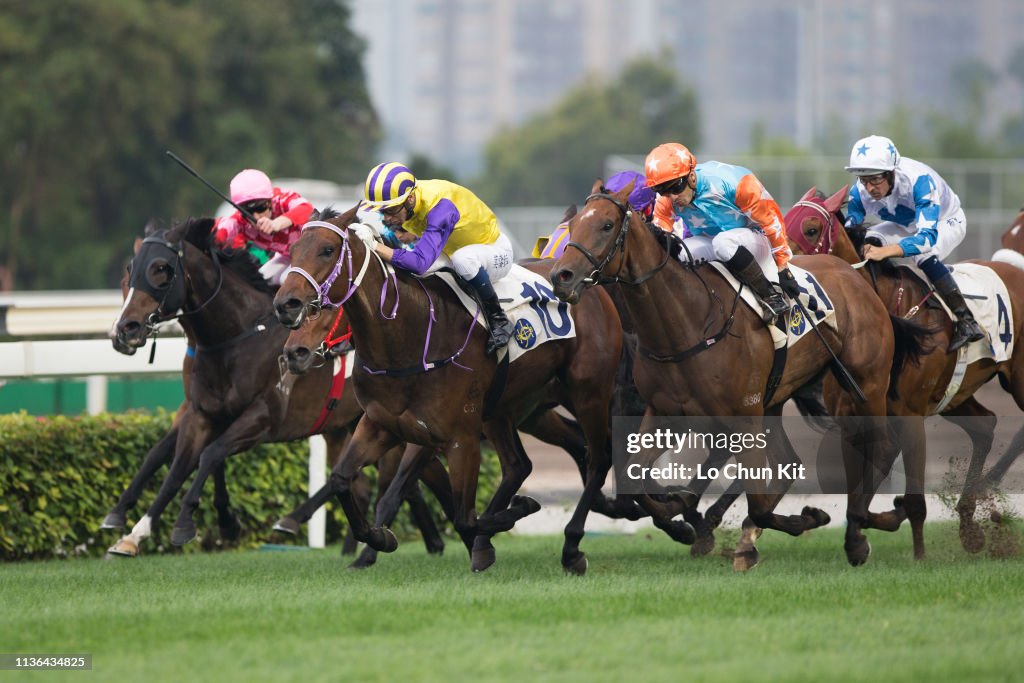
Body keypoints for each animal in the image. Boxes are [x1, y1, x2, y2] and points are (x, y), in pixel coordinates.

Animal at [109, 219, 452, 561]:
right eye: (128, 271)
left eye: (161, 268)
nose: (124, 330)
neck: (236, 338)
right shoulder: (201, 413)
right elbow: (172, 463)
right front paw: (131, 531)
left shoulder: (263, 418)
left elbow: (210, 455)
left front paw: (195, 522)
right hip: (356, 424)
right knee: (398, 479)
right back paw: (418, 541)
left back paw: (302, 522)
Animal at [270, 205, 638, 573]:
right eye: (294, 249)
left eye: (327, 249)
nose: (286, 306)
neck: (409, 338)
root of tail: (588, 283)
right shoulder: (381, 425)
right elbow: (342, 480)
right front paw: (378, 538)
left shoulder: (457, 437)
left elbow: (462, 515)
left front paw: (516, 513)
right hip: (509, 410)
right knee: (521, 464)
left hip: (588, 392)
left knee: (598, 457)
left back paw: (575, 544)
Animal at [548, 179, 917, 569]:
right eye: (575, 225)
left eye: (606, 225)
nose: (561, 276)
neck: (687, 322)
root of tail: (854, 274)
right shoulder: (665, 411)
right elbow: (636, 477)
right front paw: (681, 513)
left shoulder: (742, 416)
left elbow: (757, 505)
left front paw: (804, 519)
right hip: (776, 399)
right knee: (790, 461)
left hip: (864, 383)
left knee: (880, 447)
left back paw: (860, 532)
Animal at [782, 187, 1024, 557]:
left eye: (810, 229)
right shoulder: (853, 416)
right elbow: (860, 490)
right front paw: (866, 530)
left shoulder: (909, 416)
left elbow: (911, 499)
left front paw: (919, 555)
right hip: (955, 396)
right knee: (984, 426)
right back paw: (969, 525)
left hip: (1019, 381)